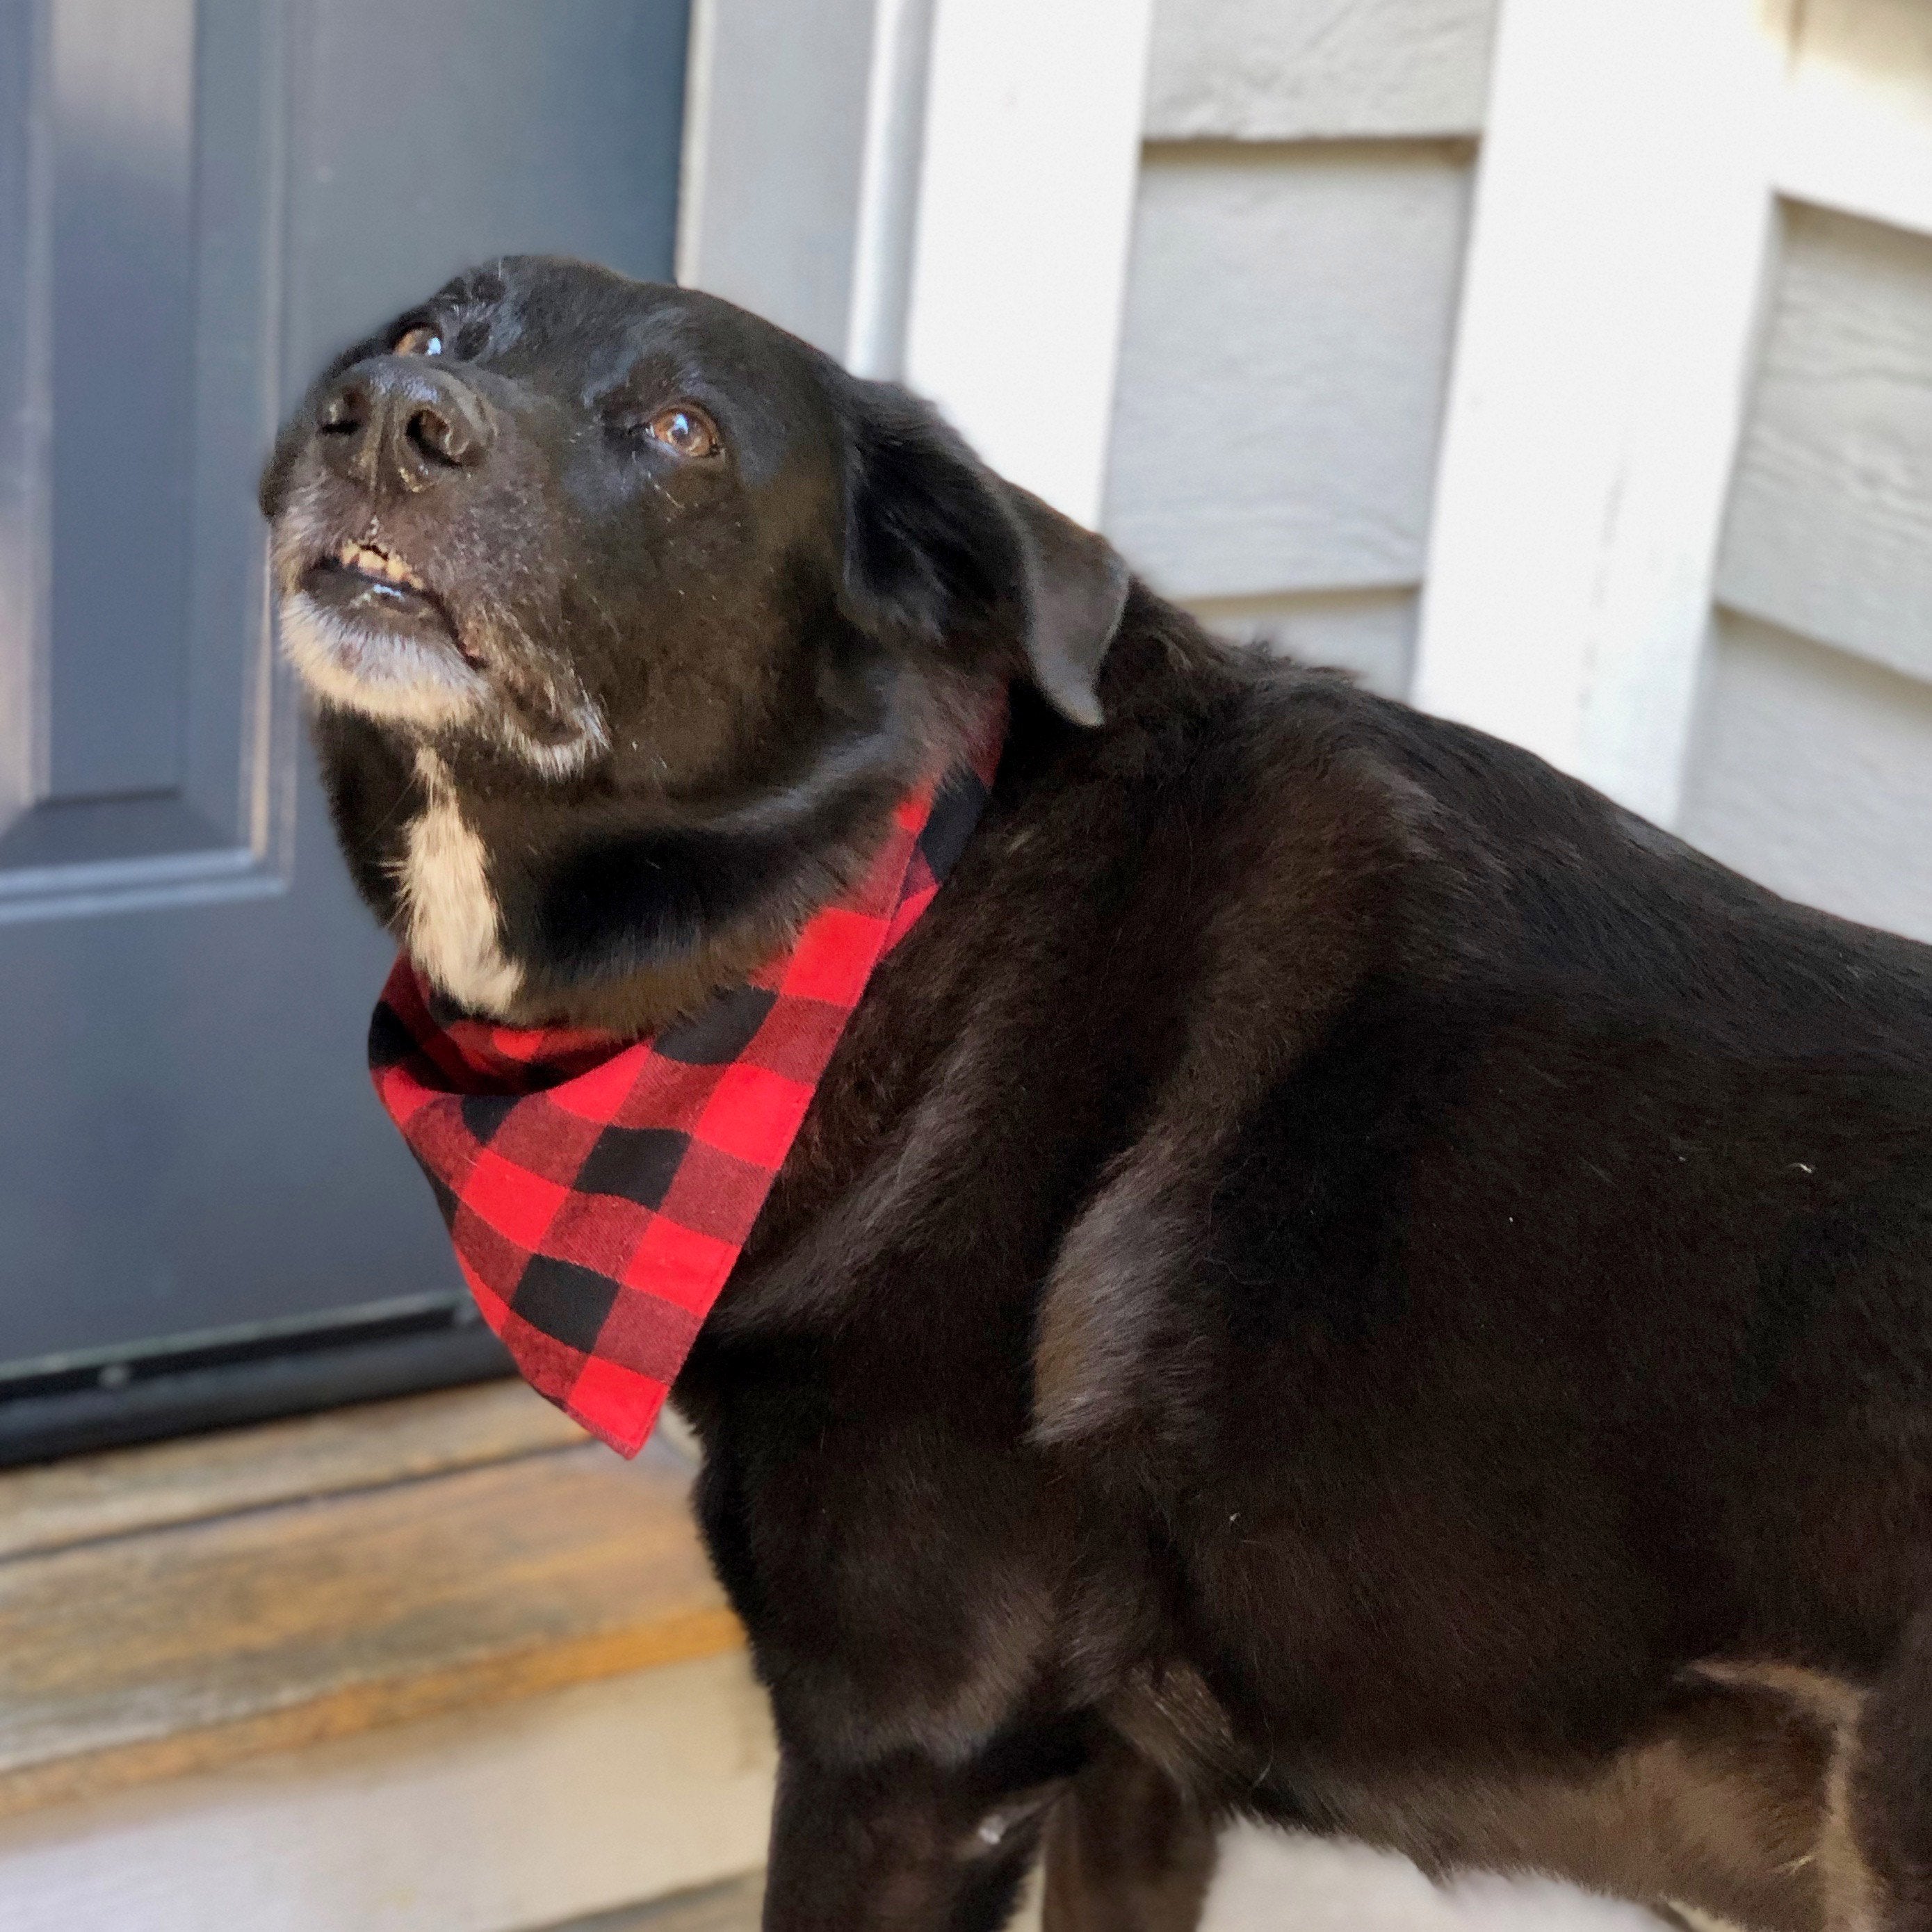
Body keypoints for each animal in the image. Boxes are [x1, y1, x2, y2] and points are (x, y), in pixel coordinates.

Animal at [264, 261, 1932, 1932]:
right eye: (426, 335)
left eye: (685, 430)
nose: (387, 418)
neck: (877, 916)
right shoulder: (1135, 1768)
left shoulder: (910, 1762)